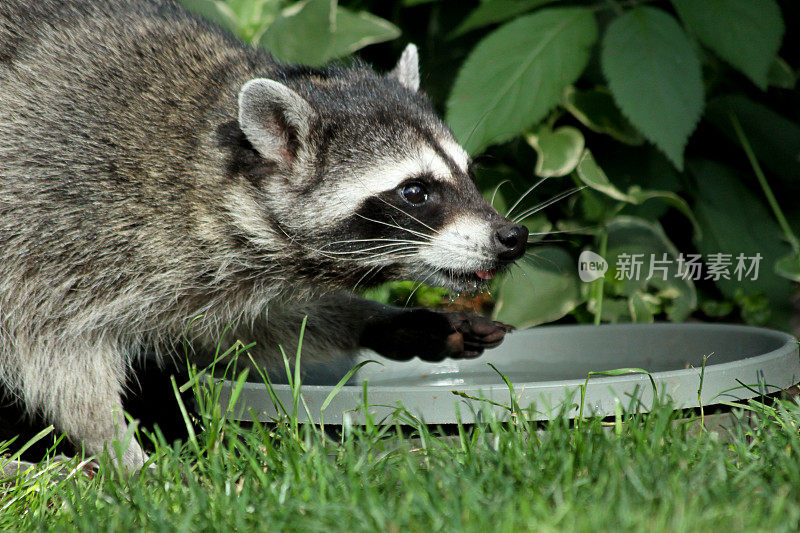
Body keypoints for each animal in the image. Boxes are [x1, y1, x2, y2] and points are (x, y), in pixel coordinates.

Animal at [1, 0, 532, 466]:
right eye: (416, 192)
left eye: (469, 173)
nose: (513, 237)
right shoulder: (57, 221)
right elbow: (55, 350)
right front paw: (120, 450)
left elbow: (250, 330)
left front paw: (380, 320)